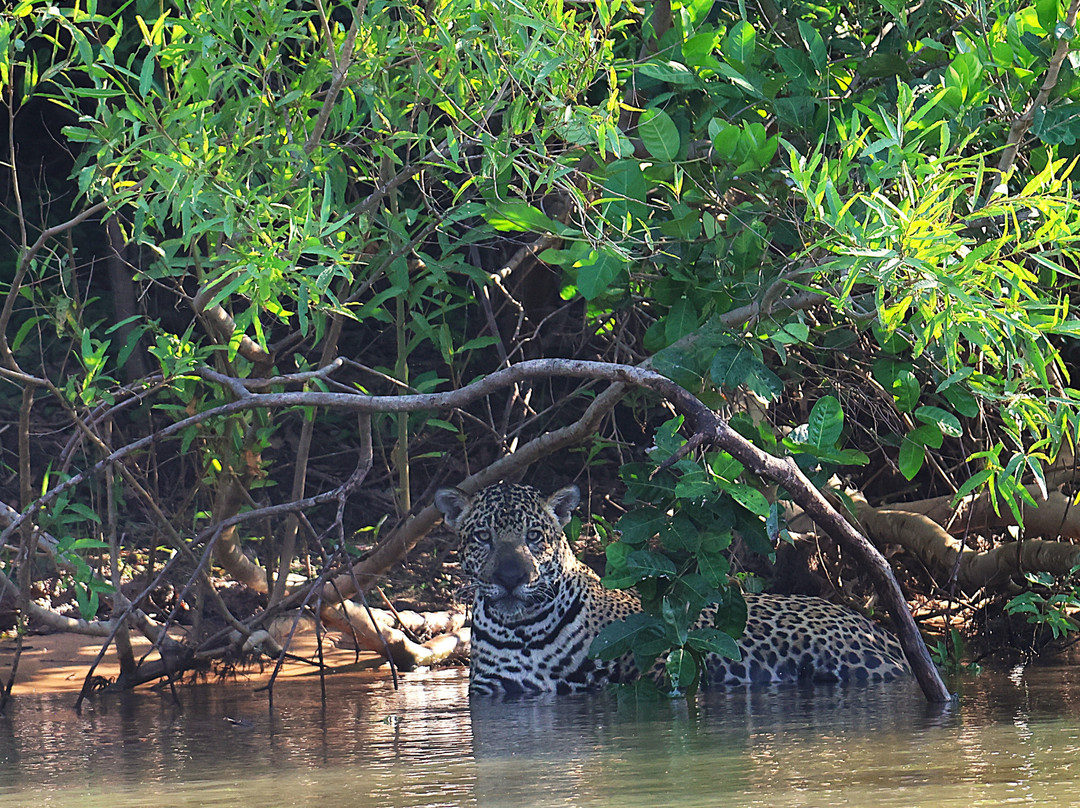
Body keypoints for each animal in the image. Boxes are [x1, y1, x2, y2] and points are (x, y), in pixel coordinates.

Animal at [435, 482, 912, 696]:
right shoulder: (492, 693)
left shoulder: (644, 670)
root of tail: (880, 629)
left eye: (534, 536)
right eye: (483, 537)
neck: (522, 631)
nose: (510, 578)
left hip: (859, 662)